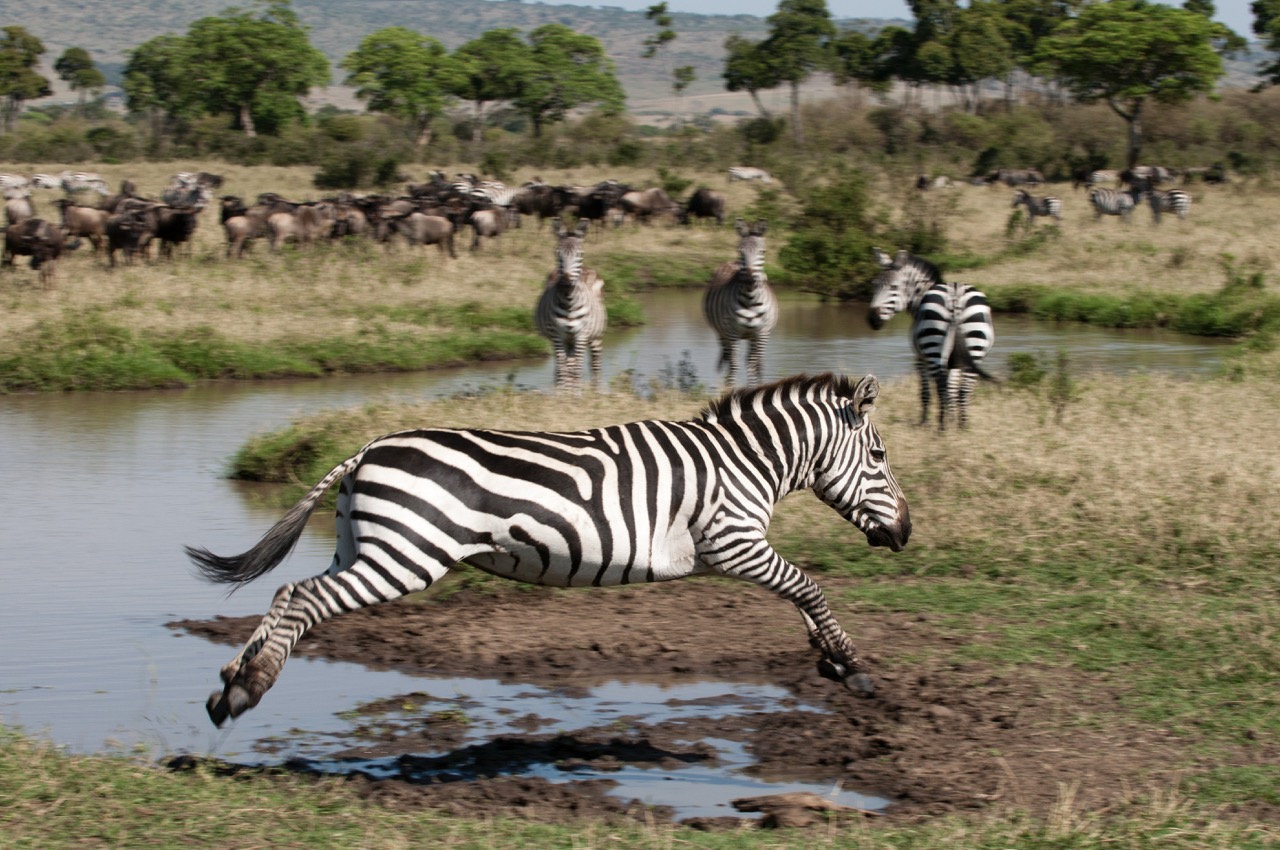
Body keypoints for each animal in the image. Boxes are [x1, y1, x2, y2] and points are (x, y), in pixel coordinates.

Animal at [188, 372, 913, 726]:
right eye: (879, 458)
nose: (905, 533)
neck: (743, 462)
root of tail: (365, 449)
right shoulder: (733, 541)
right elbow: (806, 585)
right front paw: (852, 665)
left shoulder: (740, 549)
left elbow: (800, 595)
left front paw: (828, 657)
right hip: (403, 558)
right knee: (306, 598)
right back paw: (249, 687)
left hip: (360, 546)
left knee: (288, 591)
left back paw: (231, 685)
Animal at [535, 218, 607, 393]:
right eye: (557, 253)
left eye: (579, 254)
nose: (566, 284)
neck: (569, 303)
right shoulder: (557, 335)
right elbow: (563, 370)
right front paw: (563, 395)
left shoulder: (581, 334)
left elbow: (576, 370)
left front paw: (576, 395)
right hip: (566, 340)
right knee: (563, 367)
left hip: (596, 336)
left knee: (595, 365)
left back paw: (594, 391)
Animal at [704, 219, 778, 390]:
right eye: (740, 251)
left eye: (762, 252)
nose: (749, 280)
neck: (750, 299)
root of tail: (730, 262)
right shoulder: (732, 332)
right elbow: (734, 364)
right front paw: (731, 389)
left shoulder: (762, 333)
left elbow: (755, 365)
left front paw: (755, 389)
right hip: (722, 334)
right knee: (730, 360)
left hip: (752, 336)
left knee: (752, 362)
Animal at [868, 248, 997, 430]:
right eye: (874, 284)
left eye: (894, 287)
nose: (872, 320)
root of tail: (955, 295)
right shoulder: (956, 361)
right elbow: (952, 389)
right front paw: (952, 419)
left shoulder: (920, 358)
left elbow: (926, 392)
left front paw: (925, 422)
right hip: (975, 348)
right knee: (964, 389)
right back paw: (963, 425)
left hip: (933, 345)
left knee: (940, 385)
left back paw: (941, 427)